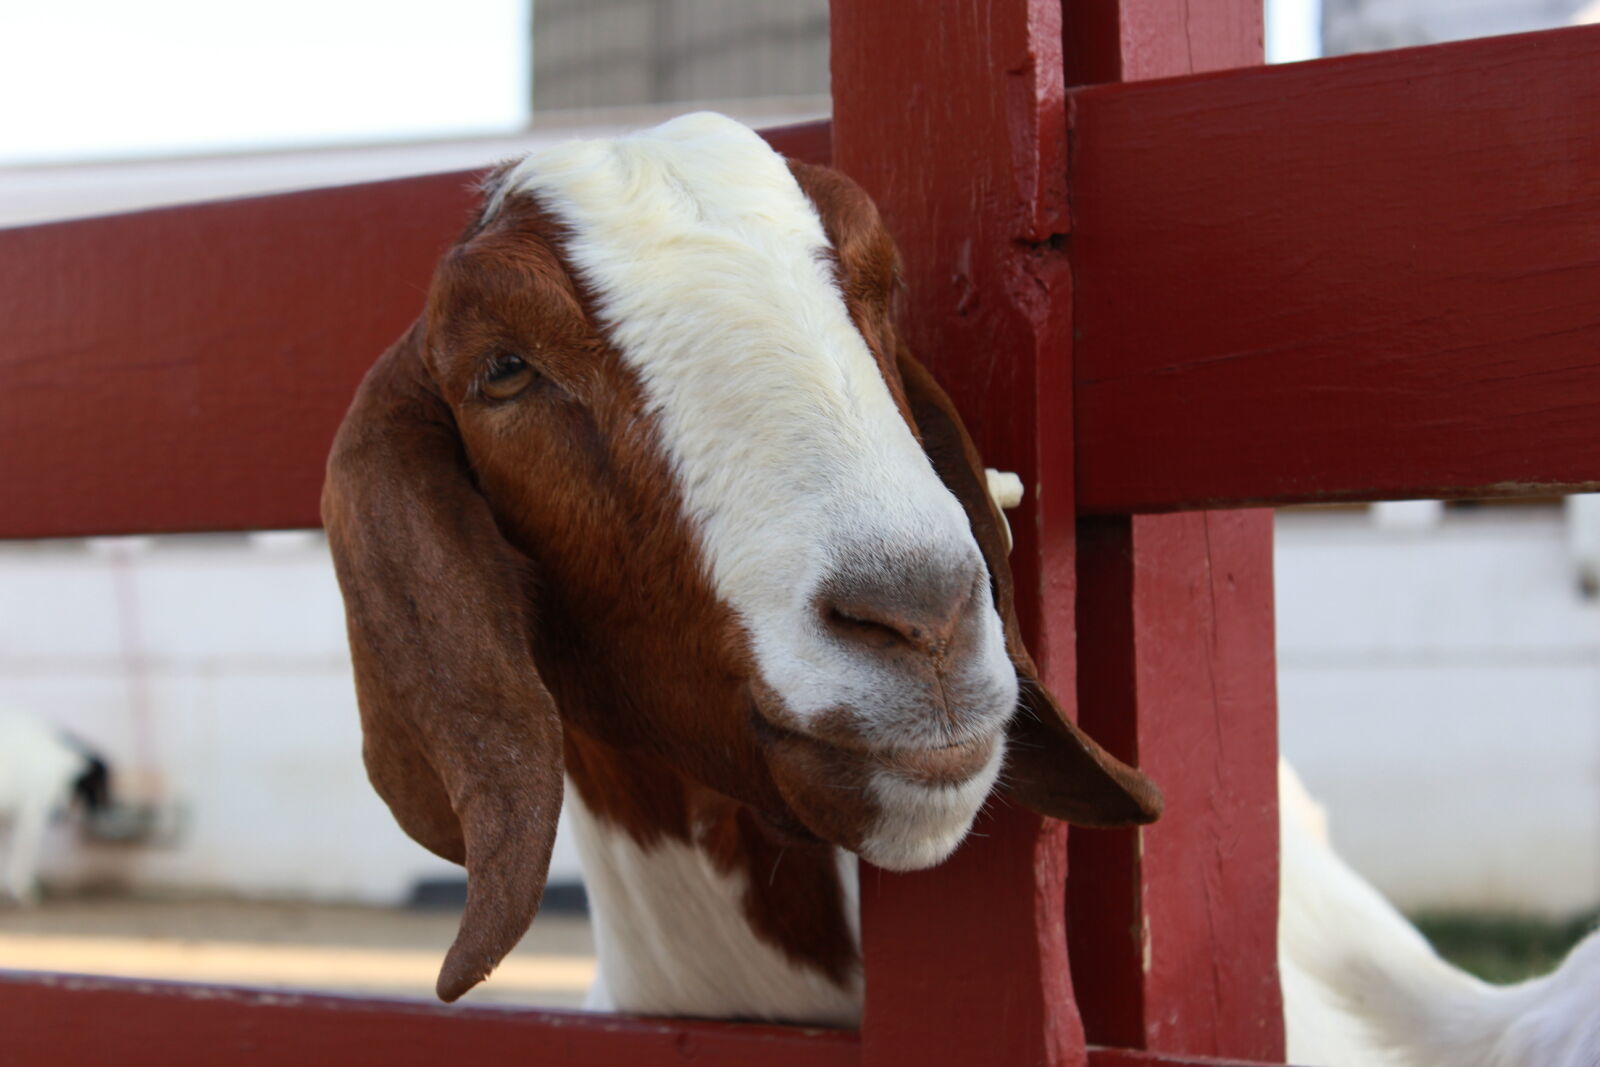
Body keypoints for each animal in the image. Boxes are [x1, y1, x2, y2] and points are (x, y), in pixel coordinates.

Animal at [0, 709, 111, 904]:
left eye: (80, 787)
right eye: (96, 789)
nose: (54, 814)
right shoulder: (31, 816)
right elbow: (23, 856)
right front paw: (25, 891)